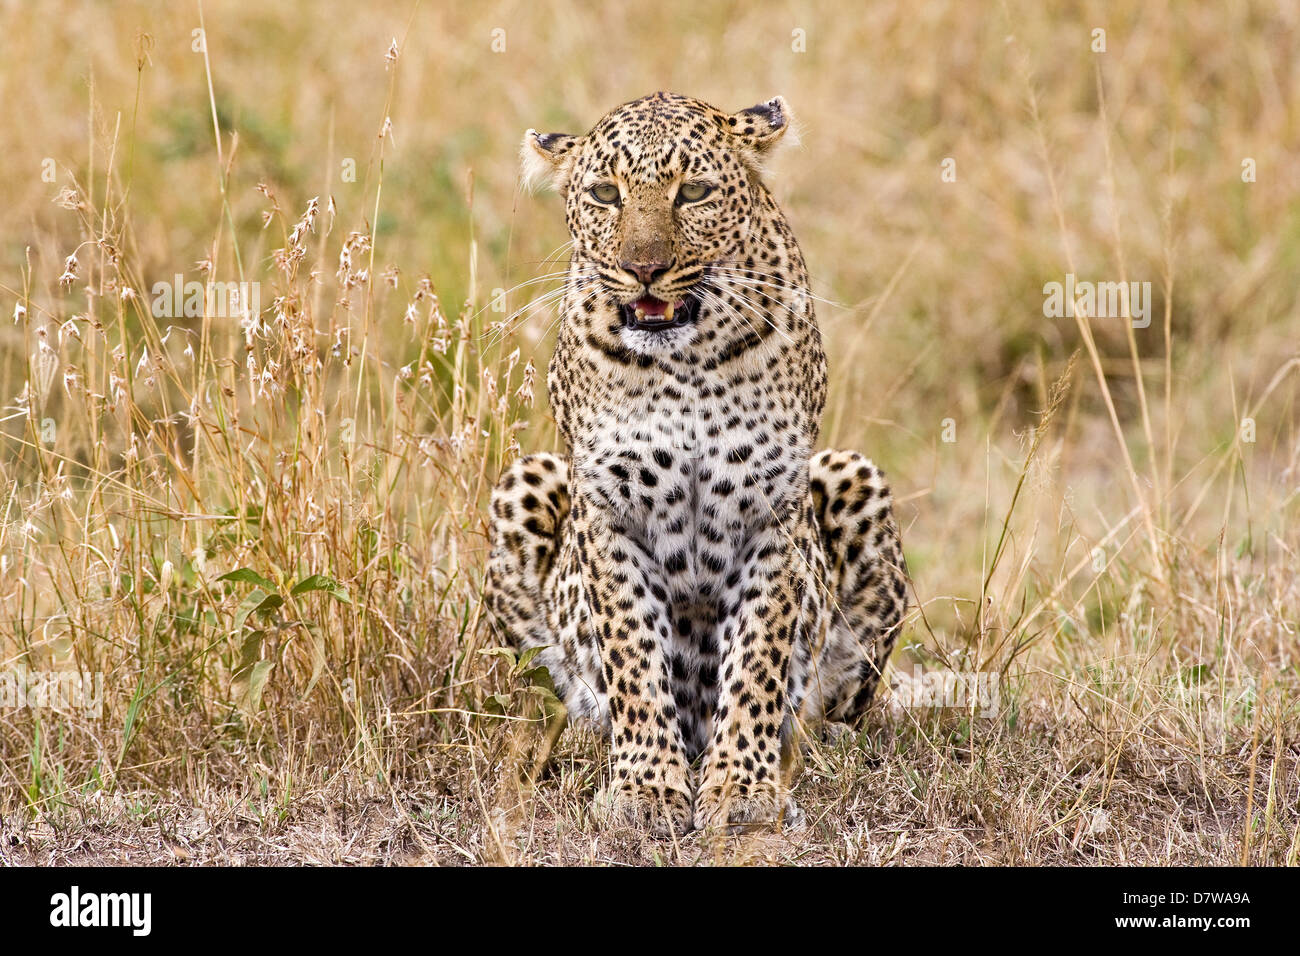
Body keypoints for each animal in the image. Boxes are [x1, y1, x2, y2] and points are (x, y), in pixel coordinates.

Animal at [486, 92, 908, 835]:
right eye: (605, 195)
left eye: (694, 193)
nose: (644, 269)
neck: (683, 363)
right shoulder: (608, 511)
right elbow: (631, 652)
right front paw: (645, 786)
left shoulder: (774, 513)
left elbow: (760, 658)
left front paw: (741, 787)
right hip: (524, 483)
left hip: (855, 477)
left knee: (840, 705)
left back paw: (823, 745)